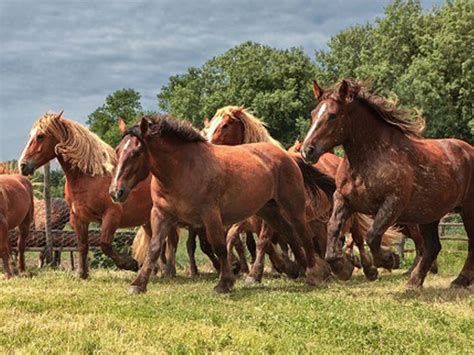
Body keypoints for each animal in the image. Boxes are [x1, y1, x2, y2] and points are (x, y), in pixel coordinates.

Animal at [109, 114, 334, 294]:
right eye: (118, 151)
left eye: (137, 153)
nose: (116, 192)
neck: (183, 171)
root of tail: (288, 156)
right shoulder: (161, 215)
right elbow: (154, 248)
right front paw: (138, 284)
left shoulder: (210, 216)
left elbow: (219, 246)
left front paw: (225, 283)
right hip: (268, 211)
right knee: (289, 234)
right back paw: (299, 269)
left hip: (292, 206)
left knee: (302, 234)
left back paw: (314, 273)